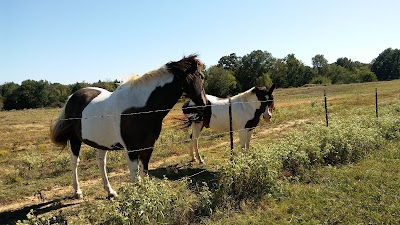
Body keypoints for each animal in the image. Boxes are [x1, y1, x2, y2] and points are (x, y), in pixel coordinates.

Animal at [50, 55, 206, 199]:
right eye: (202, 76)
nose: (203, 105)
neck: (141, 108)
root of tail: (72, 97)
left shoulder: (148, 147)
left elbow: (144, 172)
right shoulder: (131, 150)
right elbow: (135, 177)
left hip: (102, 143)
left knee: (101, 163)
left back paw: (110, 191)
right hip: (75, 139)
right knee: (74, 162)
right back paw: (77, 192)